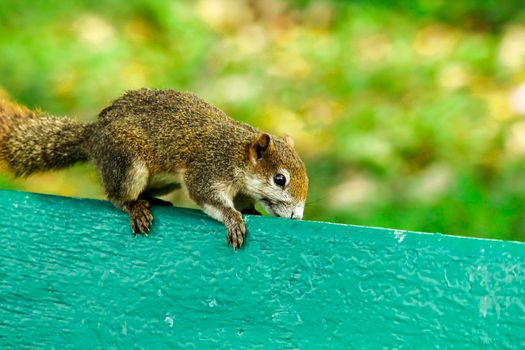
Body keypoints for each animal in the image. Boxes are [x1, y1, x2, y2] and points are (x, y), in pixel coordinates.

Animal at [0, 89, 310, 250]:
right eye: (279, 179)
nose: (297, 216)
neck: (236, 153)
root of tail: (93, 136)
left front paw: (250, 211)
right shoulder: (207, 169)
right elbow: (208, 197)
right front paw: (233, 218)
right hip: (127, 163)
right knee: (117, 196)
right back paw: (135, 206)